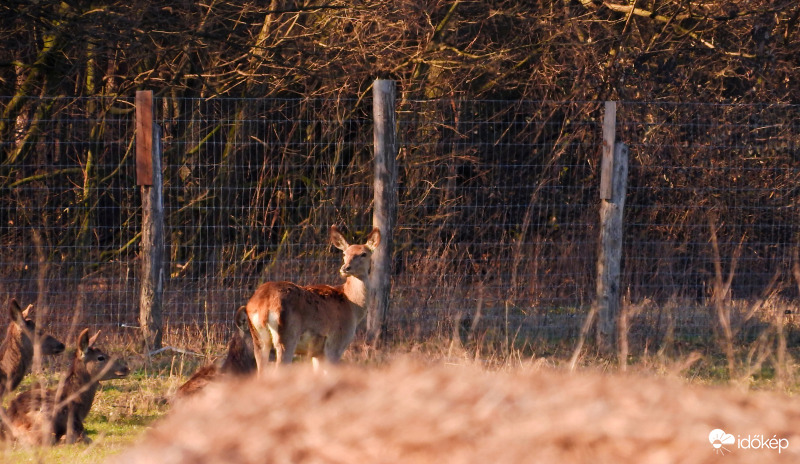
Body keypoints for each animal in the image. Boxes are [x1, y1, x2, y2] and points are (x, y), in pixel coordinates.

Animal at [245, 224, 380, 370]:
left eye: (363, 254)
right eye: (345, 253)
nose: (345, 268)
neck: (352, 306)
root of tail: (263, 305)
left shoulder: (317, 353)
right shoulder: (336, 342)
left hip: (258, 338)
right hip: (287, 335)